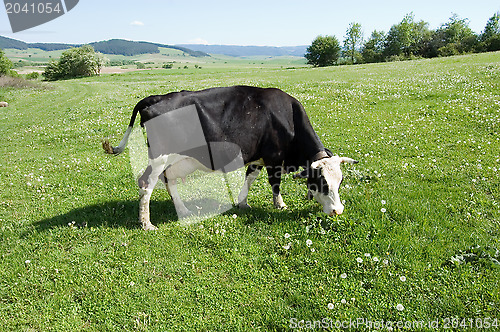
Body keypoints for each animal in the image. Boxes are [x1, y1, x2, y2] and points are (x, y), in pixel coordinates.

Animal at [103, 85, 358, 230]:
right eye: (321, 181)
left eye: (340, 182)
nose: (337, 211)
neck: (288, 116)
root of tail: (155, 98)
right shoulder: (274, 157)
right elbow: (274, 184)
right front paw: (280, 205)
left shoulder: (257, 157)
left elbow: (250, 178)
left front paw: (242, 202)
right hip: (160, 156)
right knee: (146, 183)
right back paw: (147, 223)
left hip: (175, 160)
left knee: (168, 181)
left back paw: (183, 211)